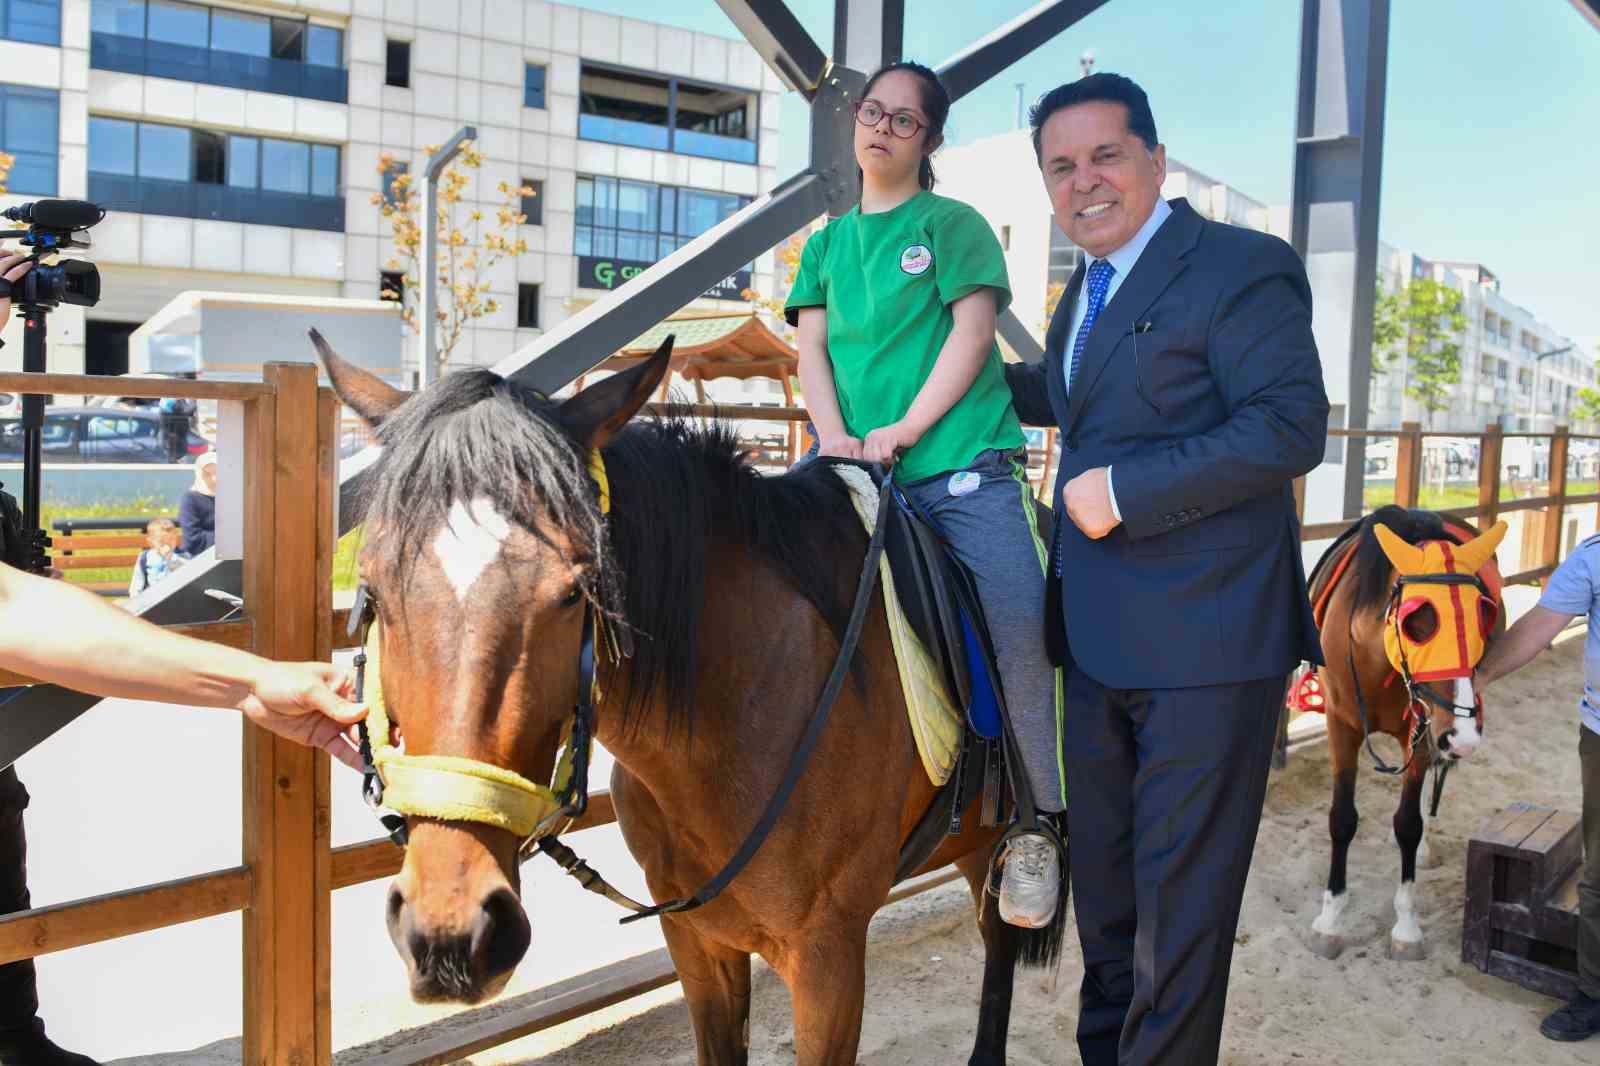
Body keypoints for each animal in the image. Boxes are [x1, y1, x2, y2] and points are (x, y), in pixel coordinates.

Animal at [1305, 502, 1504, 960]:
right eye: (1418, 621)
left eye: (1482, 617)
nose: (1464, 735)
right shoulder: (1340, 725)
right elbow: (1342, 818)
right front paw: (1330, 920)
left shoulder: (1426, 730)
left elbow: (1408, 824)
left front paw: (1406, 926)